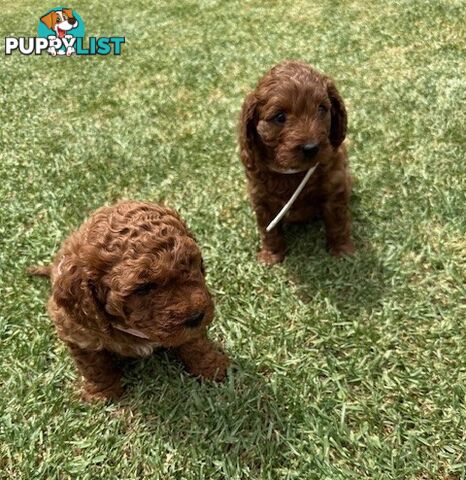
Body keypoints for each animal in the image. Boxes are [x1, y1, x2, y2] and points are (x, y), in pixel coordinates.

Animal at [29, 200, 229, 402]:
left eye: (193, 263)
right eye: (143, 288)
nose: (196, 317)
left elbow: (196, 343)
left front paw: (213, 368)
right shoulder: (77, 333)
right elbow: (94, 365)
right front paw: (102, 393)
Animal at [238, 59, 354, 266]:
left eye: (321, 109)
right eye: (280, 117)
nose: (311, 148)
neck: (293, 172)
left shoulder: (335, 186)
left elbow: (338, 221)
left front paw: (342, 250)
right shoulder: (260, 197)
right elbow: (268, 230)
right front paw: (271, 255)